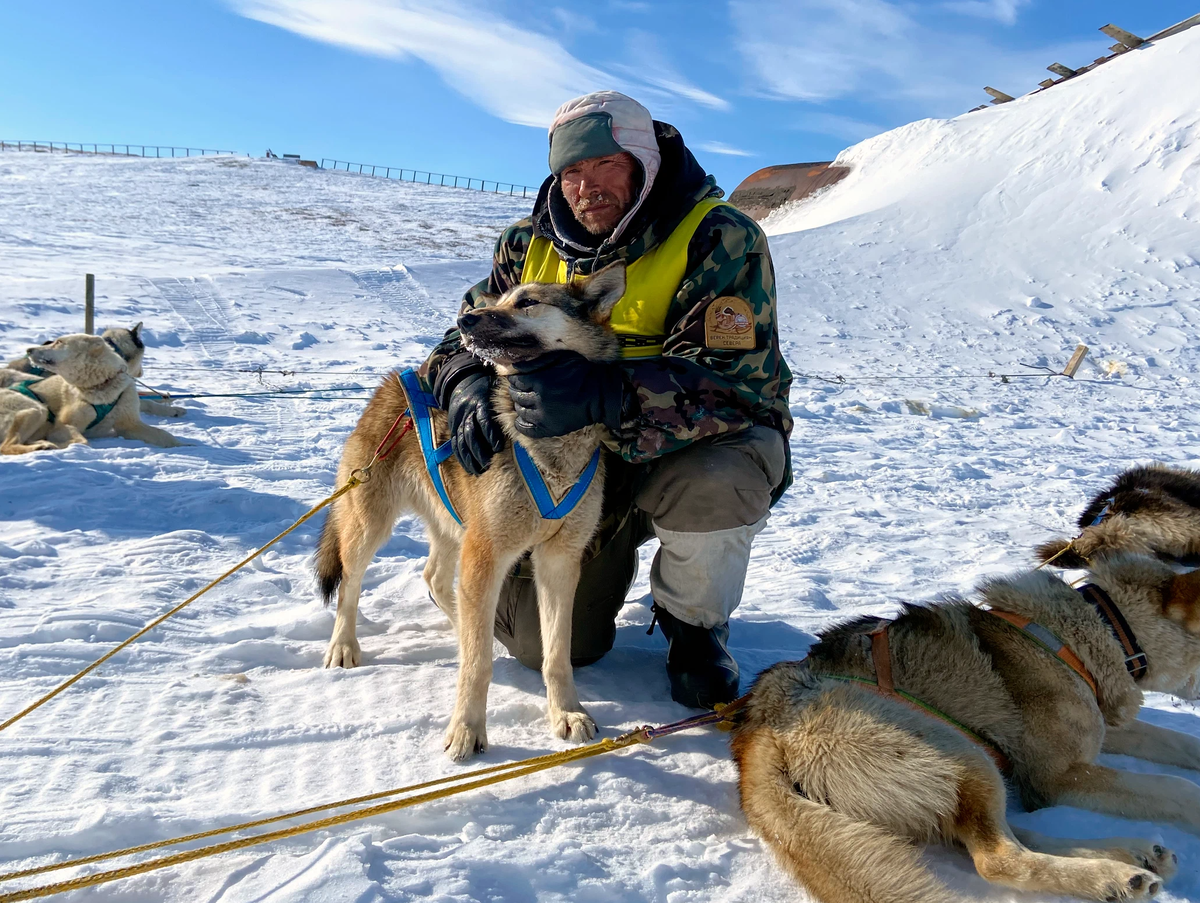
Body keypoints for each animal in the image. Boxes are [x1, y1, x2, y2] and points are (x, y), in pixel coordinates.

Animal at [316, 262, 628, 763]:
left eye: (526, 302)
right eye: (496, 300)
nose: (464, 320)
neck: (548, 450)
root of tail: (398, 379)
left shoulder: (559, 561)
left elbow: (557, 654)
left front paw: (566, 713)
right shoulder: (488, 555)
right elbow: (477, 665)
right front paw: (467, 729)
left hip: (455, 527)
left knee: (436, 579)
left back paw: (460, 624)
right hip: (372, 526)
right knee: (351, 583)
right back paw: (344, 645)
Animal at [729, 549, 1200, 903]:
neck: (1097, 633)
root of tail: (758, 726)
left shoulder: (1104, 727)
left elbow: (1180, 744)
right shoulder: (1059, 778)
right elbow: (1177, 787)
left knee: (991, 835)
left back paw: (1134, 854)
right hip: (961, 753)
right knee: (998, 857)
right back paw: (1114, 876)